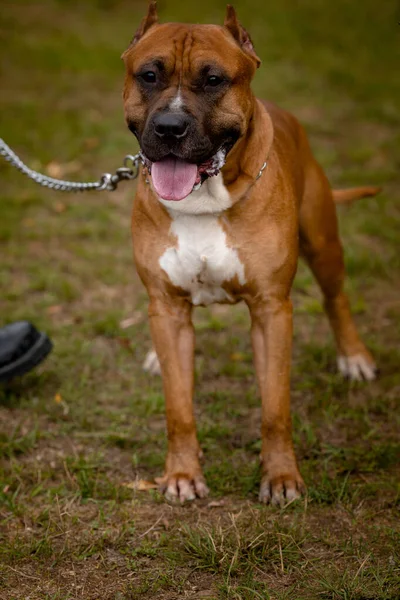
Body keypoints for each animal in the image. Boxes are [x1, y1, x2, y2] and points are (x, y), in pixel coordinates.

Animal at [121, 2, 378, 504]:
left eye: (214, 80)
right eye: (149, 76)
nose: (169, 127)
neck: (204, 200)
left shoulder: (272, 310)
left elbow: (275, 408)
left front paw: (281, 478)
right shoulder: (168, 306)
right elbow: (178, 408)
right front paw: (182, 474)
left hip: (323, 244)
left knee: (336, 298)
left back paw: (354, 356)